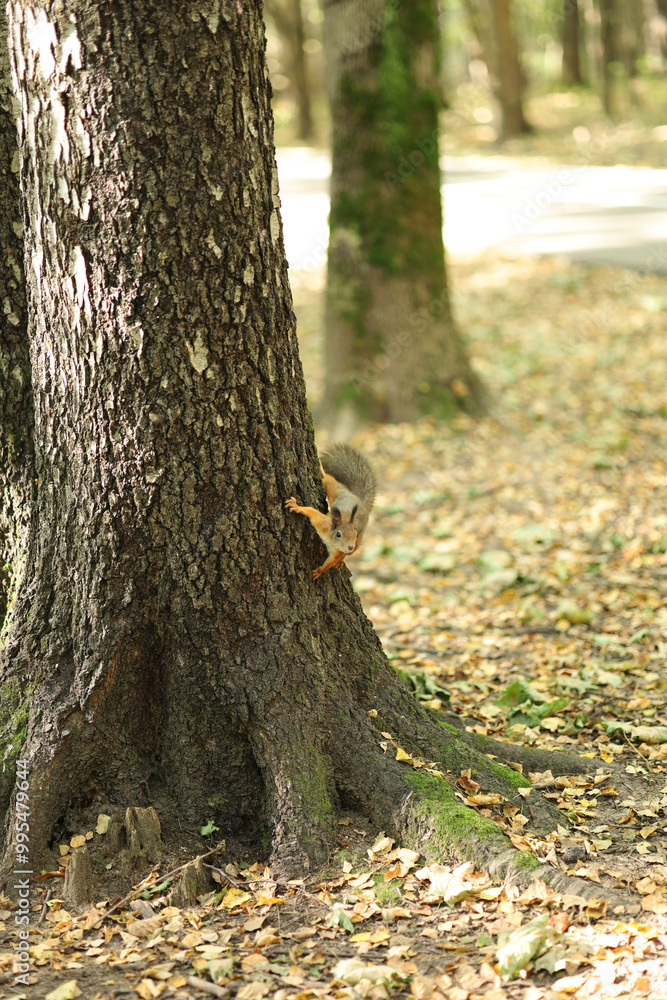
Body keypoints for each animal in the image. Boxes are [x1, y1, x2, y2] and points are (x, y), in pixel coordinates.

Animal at [285, 442, 377, 580]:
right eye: (339, 534)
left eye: (355, 535)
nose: (350, 547)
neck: (332, 542)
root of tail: (358, 499)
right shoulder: (323, 524)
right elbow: (312, 513)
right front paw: (296, 506)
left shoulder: (338, 552)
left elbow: (330, 562)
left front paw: (319, 571)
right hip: (335, 490)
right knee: (328, 479)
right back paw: (321, 469)